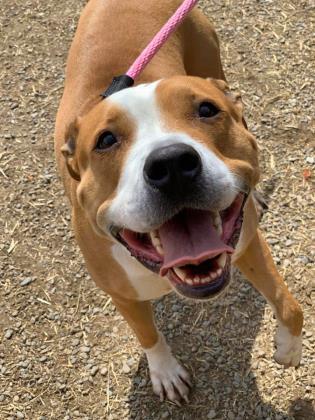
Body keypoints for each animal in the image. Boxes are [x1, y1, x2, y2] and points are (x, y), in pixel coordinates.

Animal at [54, 0, 304, 406]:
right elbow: (147, 334)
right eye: (105, 140)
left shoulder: (247, 242)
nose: (171, 165)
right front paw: (166, 372)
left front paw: (289, 348)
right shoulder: (120, 293)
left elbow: (288, 303)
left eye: (206, 110)